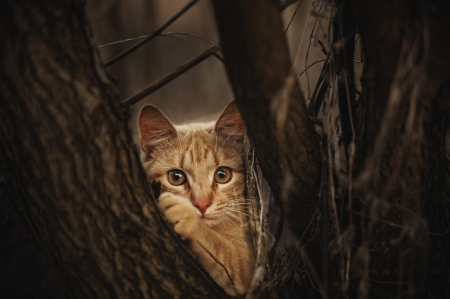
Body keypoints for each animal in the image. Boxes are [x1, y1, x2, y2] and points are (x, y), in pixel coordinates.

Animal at [137, 102, 255, 296]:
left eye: (222, 175)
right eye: (176, 177)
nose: (202, 204)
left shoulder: (245, 272)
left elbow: (219, 248)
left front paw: (186, 216)